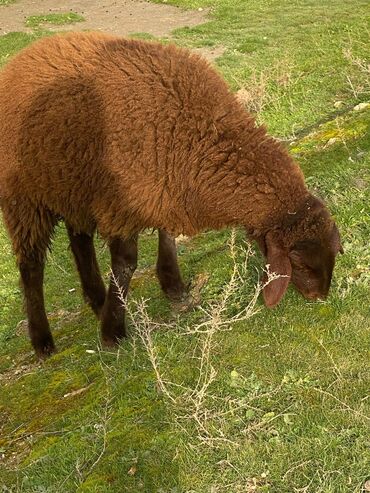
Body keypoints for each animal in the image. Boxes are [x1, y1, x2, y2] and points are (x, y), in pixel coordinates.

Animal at [0, 33, 342, 358]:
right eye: (298, 263)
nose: (319, 297)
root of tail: (22, 57)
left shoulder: (163, 188)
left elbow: (167, 236)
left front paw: (174, 287)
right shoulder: (123, 205)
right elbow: (126, 264)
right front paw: (113, 332)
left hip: (74, 187)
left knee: (79, 240)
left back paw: (96, 300)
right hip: (25, 198)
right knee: (31, 267)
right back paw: (43, 341)